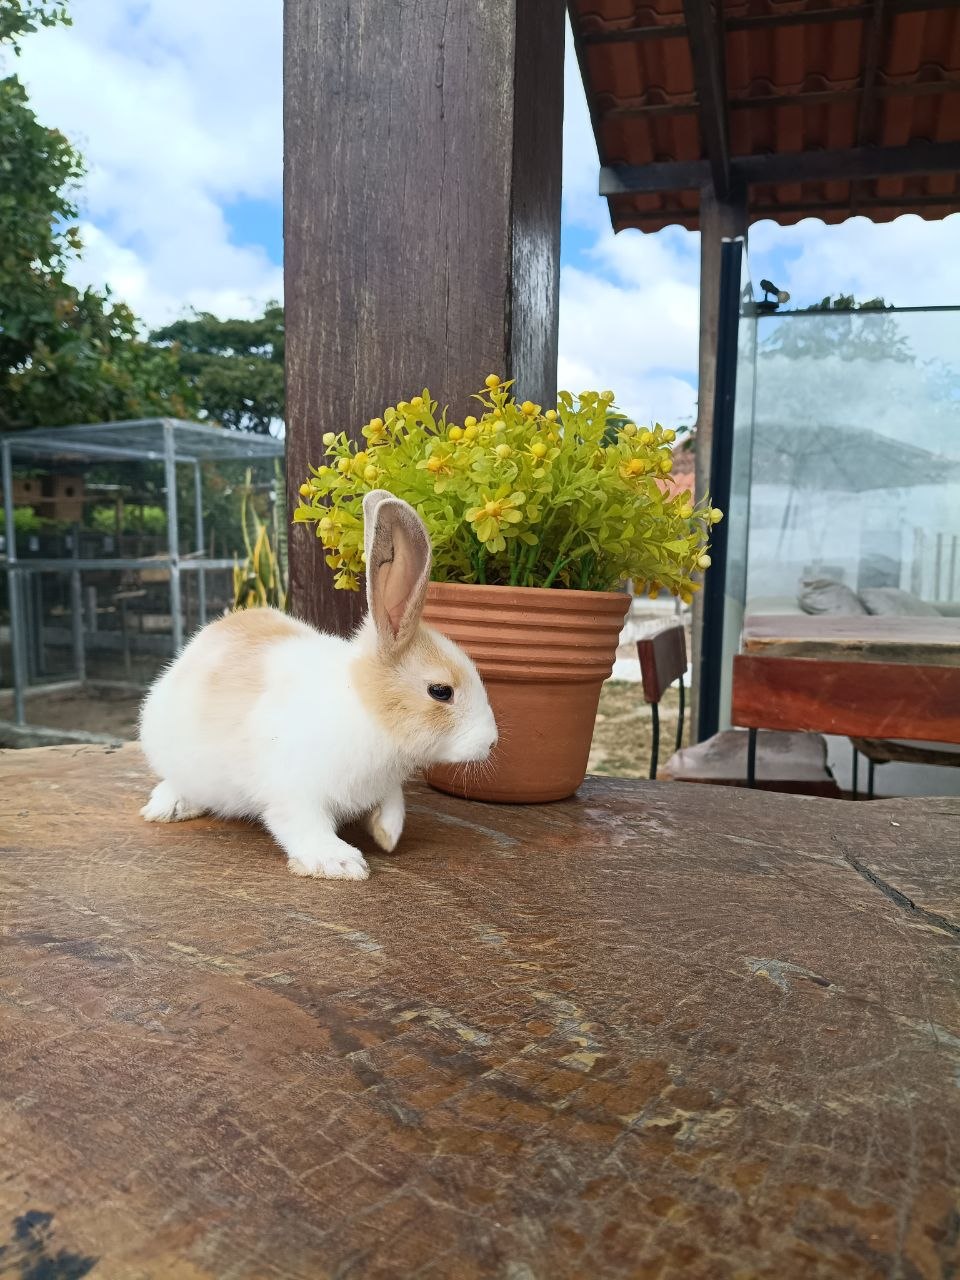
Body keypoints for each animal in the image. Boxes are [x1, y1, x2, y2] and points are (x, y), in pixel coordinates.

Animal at [138, 489, 498, 880]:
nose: (491, 742)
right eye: (441, 691)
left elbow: (394, 804)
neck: (366, 709)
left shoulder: (387, 786)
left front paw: (387, 835)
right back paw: (168, 807)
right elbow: (302, 825)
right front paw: (339, 862)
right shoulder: (293, 792)